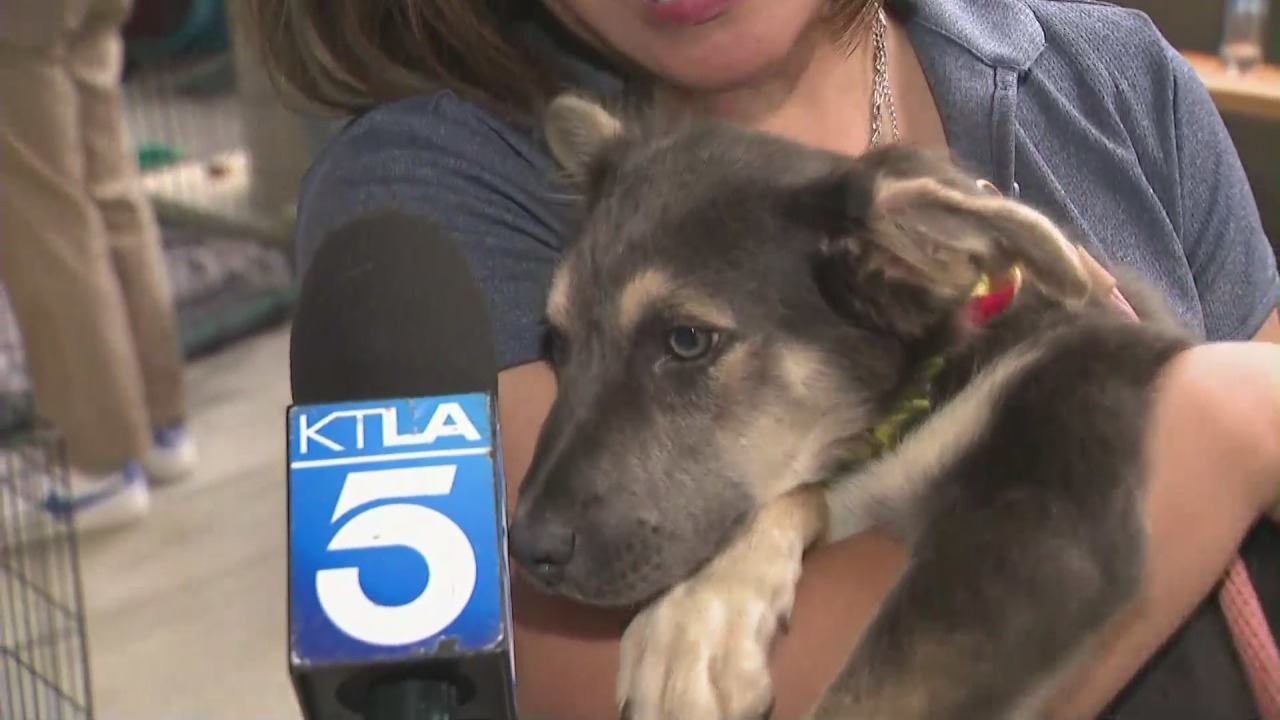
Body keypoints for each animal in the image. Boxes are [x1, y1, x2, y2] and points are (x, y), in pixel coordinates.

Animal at [509, 95, 1198, 717]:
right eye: (556, 343)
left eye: (687, 340)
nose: (523, 551)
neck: (938, 379)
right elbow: (803, 489)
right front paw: (697, 617)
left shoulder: (1047, 515)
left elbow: (869, 697)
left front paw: (690, 627)